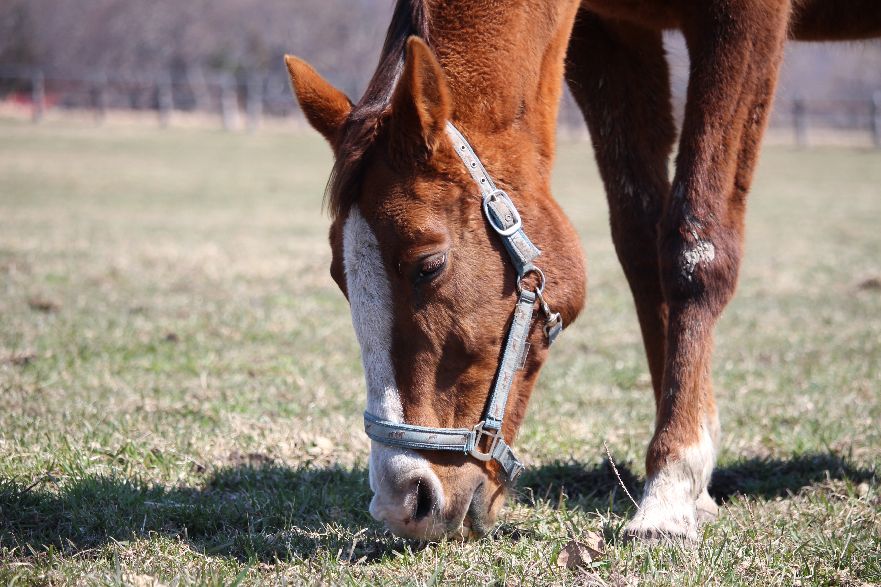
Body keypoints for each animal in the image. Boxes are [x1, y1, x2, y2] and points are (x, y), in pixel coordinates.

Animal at [288, 1, 880, 544]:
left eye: (428, 265)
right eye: (340, 278)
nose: (402, 501)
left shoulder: (747, 22)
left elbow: (695, 244)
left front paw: (671, 489)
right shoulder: (609, 32)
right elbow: (644, 245)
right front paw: (695, 485)